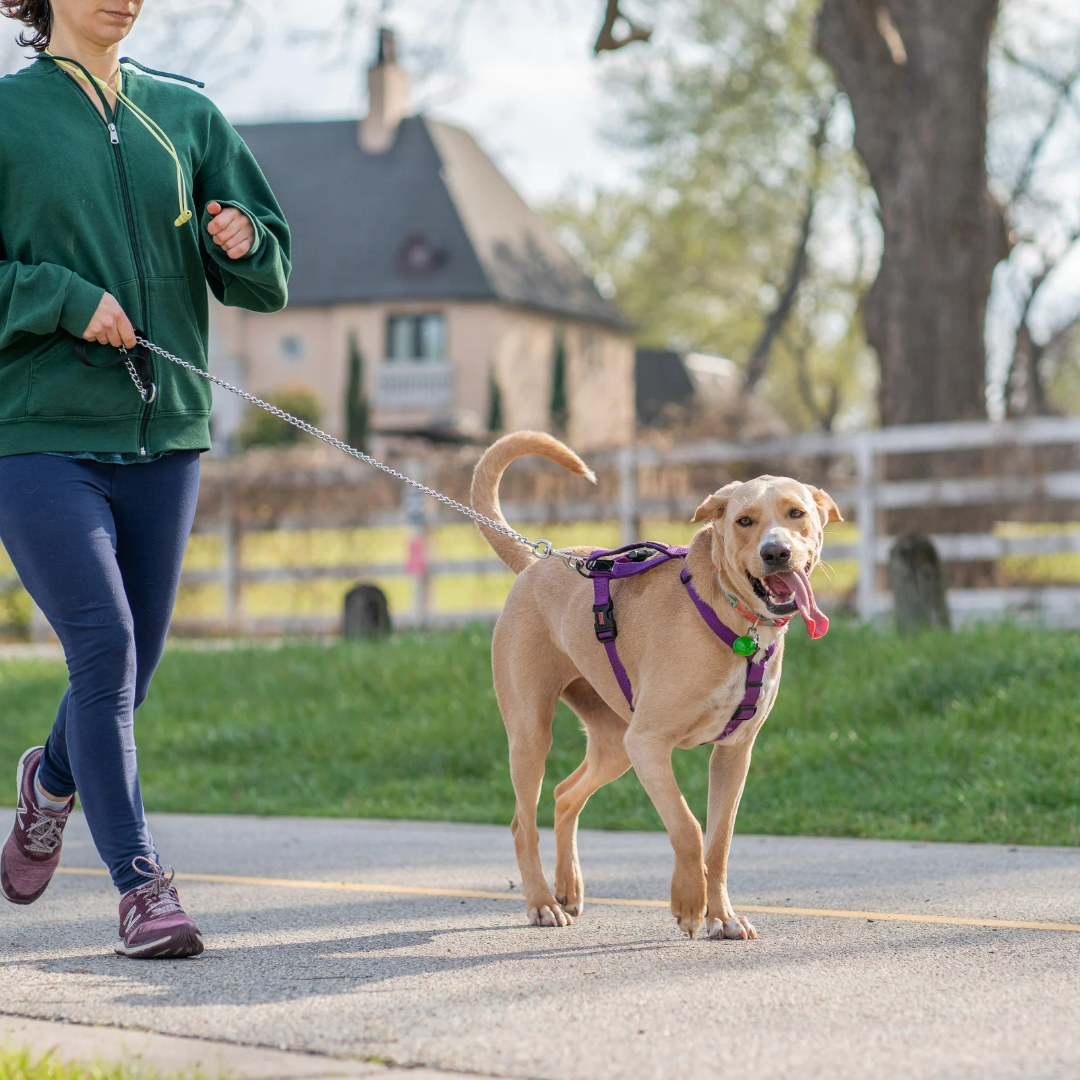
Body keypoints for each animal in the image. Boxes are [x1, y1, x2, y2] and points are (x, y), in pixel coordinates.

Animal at [473, 429, 842, 937]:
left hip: (613, 745)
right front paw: (689, 904)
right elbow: (687, 826)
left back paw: (568, 887)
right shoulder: (648, 743)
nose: (776, 552)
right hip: (534, 734)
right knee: (521, 823)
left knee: (565, 795)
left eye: (796, 513)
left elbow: (719, 841)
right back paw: (543, 903)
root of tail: (536, 560)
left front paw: (722, 916)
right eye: (744, 520)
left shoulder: (733, 754)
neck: (736, 620)